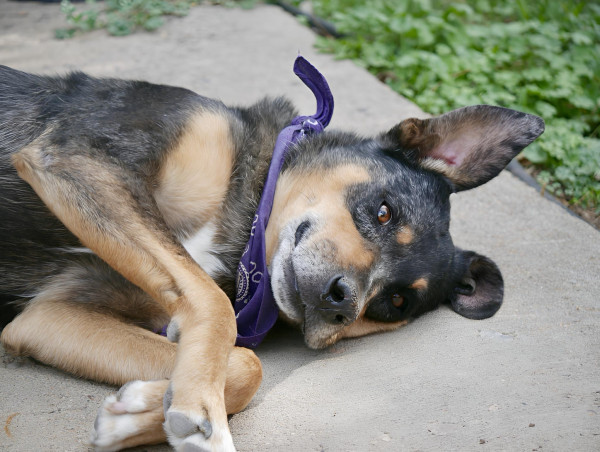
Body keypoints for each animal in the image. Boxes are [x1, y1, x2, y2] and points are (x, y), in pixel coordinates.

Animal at [0, 61, 544, 450]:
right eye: (385, 212)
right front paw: (199, 405)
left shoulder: (49, 316)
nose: (341, 301)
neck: (245, 236)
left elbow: (245, 363)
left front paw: (146, 413)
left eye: (394, 303)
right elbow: (217, 309)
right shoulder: (77, 158)